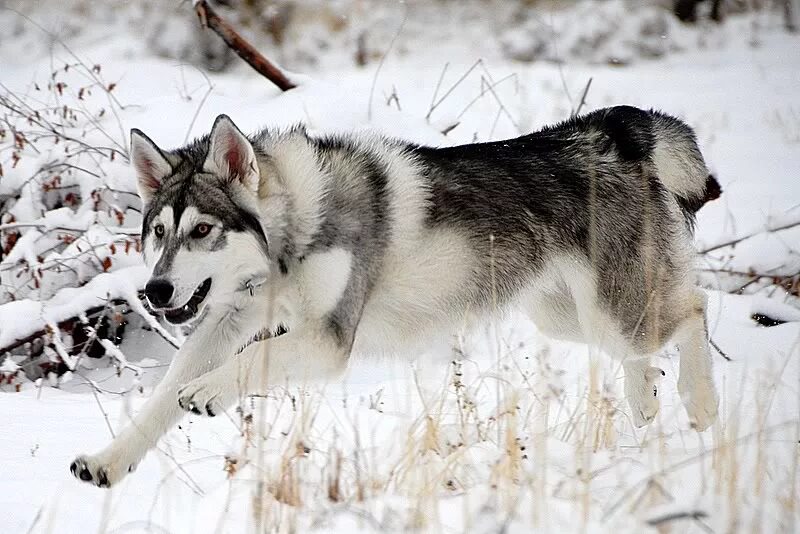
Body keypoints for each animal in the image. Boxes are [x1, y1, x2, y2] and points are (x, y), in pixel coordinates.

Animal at [67, 107, 720, 488]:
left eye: (203, 230)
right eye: (158, 232)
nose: (155, 291)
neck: (290, 236)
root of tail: (611, 132)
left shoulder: (327, 341)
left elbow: (246, 362)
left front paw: (207, 392)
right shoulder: (227, 320)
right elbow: (161, 400)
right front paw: (108, 461)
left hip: (613, 315)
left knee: (695, 308)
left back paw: (701, 404)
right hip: (568, 317)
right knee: (648, 349)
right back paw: (644, 402)